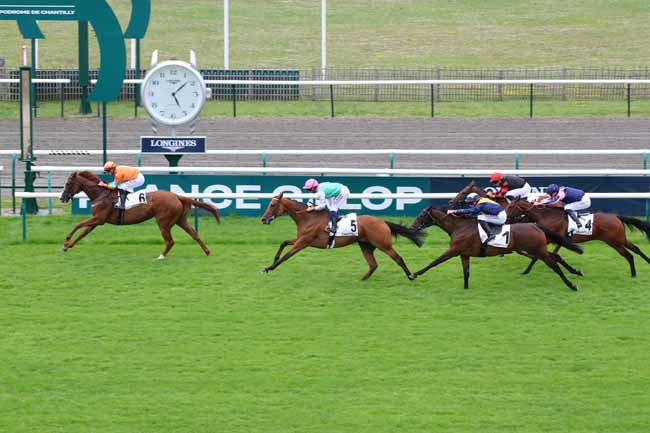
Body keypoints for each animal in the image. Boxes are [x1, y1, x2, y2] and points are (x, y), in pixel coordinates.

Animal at [58, 170, 220, 258]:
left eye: (68, 184)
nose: (62, 198)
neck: (101, 194)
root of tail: (177, 195)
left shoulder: (99, 218)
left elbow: (78, 224)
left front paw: (66, 240)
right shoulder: (97, 221)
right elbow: (82, 233)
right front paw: (67, 246)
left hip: (163, 222)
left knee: (170, 241)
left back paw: (161, 256)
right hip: (180, 220)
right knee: (194, 233)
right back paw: (207, 252)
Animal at [260, 193, 426, 280]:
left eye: (272, 205)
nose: (263, 219)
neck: (308, 218)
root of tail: (382, 221)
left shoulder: (303, 242)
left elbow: (286, 256)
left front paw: (269, 268)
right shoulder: (301, 239)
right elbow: (283, 243)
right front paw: (269, 265)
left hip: (383, 244)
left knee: (398, 258)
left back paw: (411, 276)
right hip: (366, 245)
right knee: (373, 264)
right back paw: (362, 280)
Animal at [404, 206, 584, 290]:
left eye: (422, 215)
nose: (411, 227)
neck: (459, 227)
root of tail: (536, 226)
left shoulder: (454, 250)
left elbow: (434, 262)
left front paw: (414, 274)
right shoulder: (464, 254)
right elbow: (466, 272)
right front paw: (466, 288)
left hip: (538, 250)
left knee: (554, 265)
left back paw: (571, 285)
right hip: (538, 251)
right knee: (555, 257)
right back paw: (576, 271)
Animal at [506, 199, 648, 276]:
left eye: (510, 207)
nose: (507, 220)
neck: (547, 216)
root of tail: (616, 217)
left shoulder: (552, 240)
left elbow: (540, 256)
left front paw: (526, 270)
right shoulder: (554, 241)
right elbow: (542, 255)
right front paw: (526, 270)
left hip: (615, 242)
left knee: (629, 255)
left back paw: (634, 274)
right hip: (620, 239)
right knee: (636, 249)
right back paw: (647, 263)